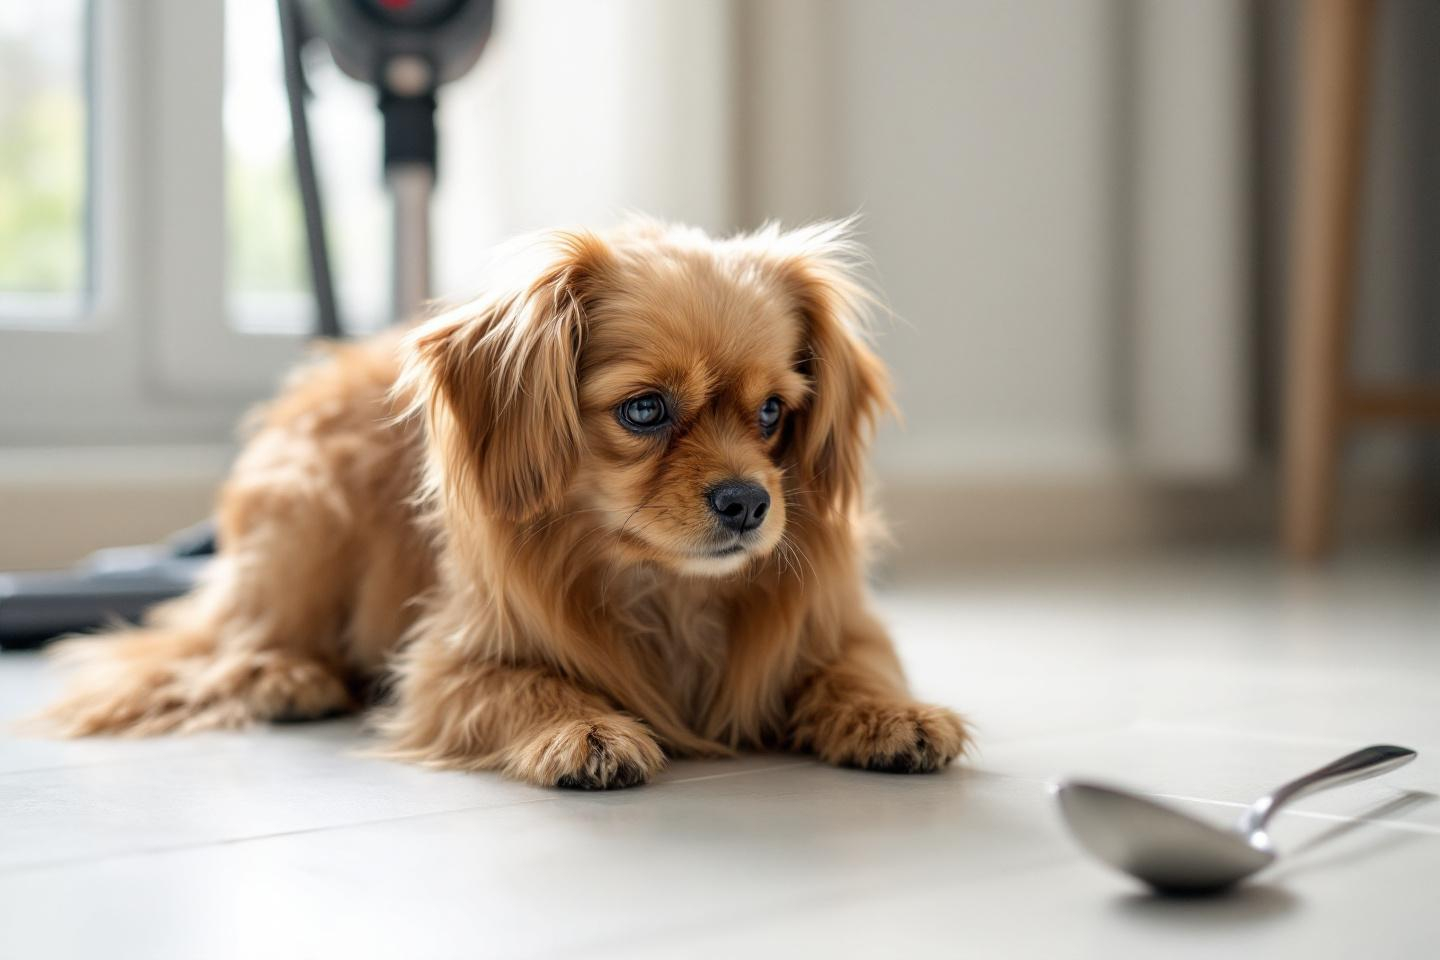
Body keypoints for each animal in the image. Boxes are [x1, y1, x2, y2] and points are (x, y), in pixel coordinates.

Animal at [38, 219, 969, 788]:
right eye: (645, 411)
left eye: (775, 413)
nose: (747, 500)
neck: (665, 594)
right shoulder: (449, 664)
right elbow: (529, 687)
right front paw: (587, 729)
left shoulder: (844, 627)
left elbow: (854, 666)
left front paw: (890, 714)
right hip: (311, 522)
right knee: (227, 642)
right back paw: (287, 677)